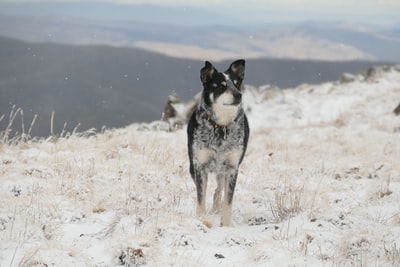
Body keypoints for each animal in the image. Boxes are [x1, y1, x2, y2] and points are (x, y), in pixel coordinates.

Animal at [186, 59, 248, 227]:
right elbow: (201, 197)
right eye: (221, 86)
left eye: (237, 84)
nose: (238, 95)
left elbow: (228, 199)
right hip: (193, 166)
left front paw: (226, 224)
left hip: (223, 170)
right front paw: (203, 219)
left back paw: (216, 208)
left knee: (219, 189)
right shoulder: (199, 166)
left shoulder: (232, 168)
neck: (220, 126)